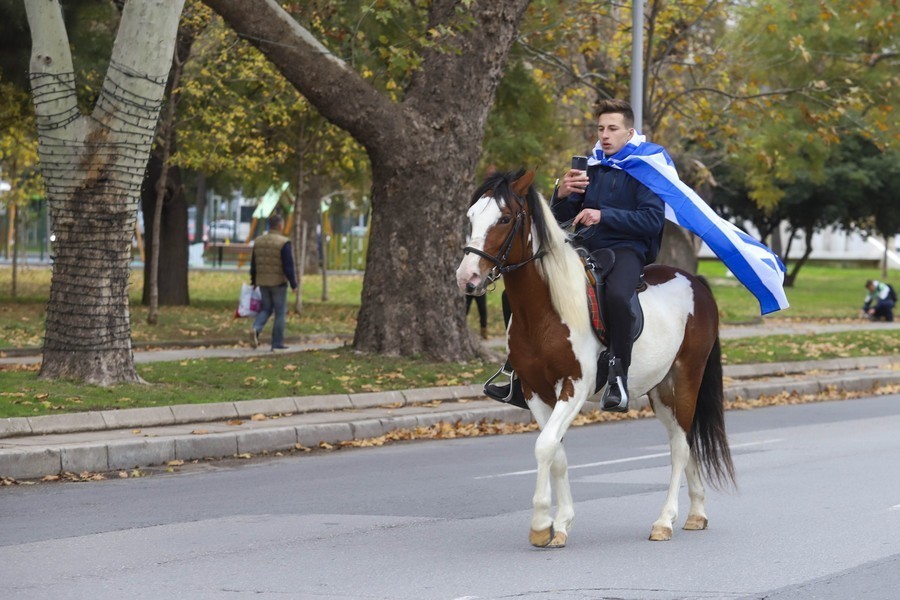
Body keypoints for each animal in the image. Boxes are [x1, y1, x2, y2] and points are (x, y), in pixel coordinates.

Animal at [454, 170, 736, 548]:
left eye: (505, 218)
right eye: (471, 218)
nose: (467, 278)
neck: (547, 309)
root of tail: (696, 282)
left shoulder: (574, 386)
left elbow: (544, 446)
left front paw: (541, 524)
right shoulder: (534, 391)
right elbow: (556, 453)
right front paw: (560, 524)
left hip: (687, 377)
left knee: (680, 445)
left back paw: (665, 520)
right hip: (661, 391)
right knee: (685, 440)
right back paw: (696, 513)